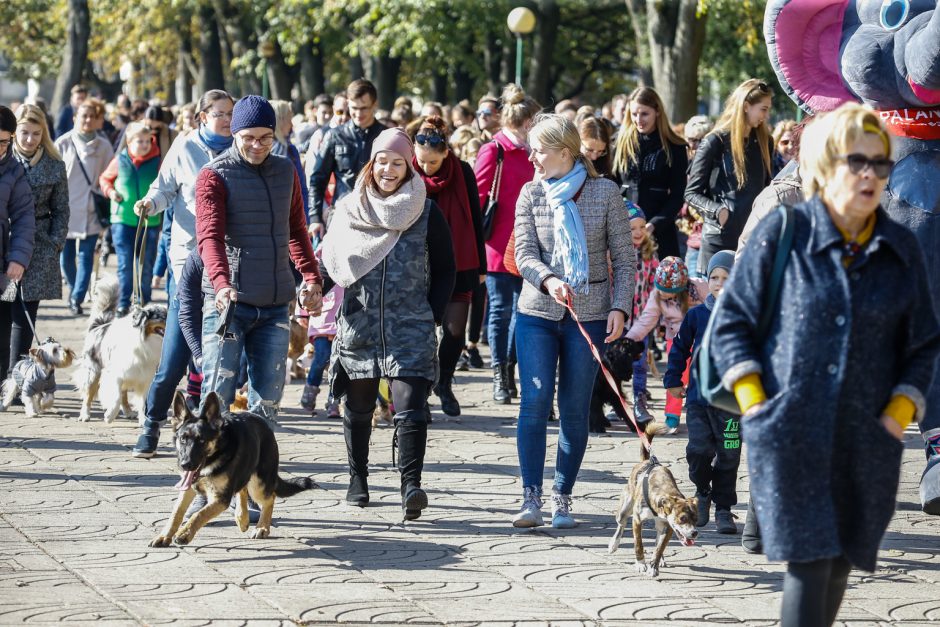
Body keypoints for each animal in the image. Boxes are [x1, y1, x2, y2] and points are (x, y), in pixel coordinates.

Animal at [75, 278, 169, 422]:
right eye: (163, 316)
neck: (145, 340)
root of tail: (99, 326)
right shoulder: (115, 373)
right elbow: (116, 397)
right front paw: (109, 416)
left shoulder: (145, 376)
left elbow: (142, 402)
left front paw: (143, 420)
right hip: (94, 370)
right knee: (89, 394)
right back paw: (85, 415)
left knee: (124, 394)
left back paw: (128, 412)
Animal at [150, 390, 316, 548]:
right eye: (183, 439)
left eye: (202, 440)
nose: (185, 464)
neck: (217, 453)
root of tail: (264, 423)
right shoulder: (188, 488)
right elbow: (176, 513)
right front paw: (164, 536)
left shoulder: (220, 498)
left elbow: (199, 515)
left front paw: (184, 534)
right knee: (242, 489)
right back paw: (242, 517)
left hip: (258, 486)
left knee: (270, 497)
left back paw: (262, 528)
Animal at [608, 422, 696, 580]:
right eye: (682, 518)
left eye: (696, 519)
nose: (694, 533)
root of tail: (647, 461)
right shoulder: (637, 520)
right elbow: (638, 544)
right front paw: (641, 564)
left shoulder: (668, 527)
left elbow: (659, 547)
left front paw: (654, 566)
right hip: (625, 509)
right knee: (621, 524)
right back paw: (613, 544)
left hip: (659, 525)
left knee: (656, 540)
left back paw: (660, 560)